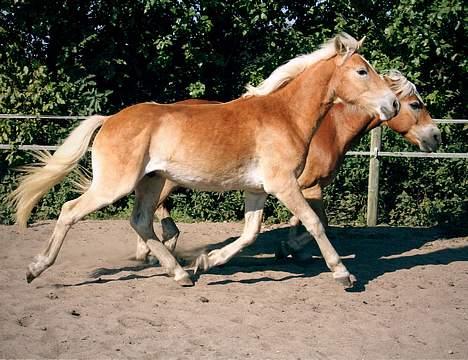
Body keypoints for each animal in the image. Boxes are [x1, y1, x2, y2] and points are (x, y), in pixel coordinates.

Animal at [11, 33, 398, 286]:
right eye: (362, 71)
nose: (392, 104)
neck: (284, 116)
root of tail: (109, 119)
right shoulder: (284, 184)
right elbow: (314, 223)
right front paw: (344, 274)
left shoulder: (258, 190)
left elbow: (250, 234)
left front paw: (205, 262)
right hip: (114, 185)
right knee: (70, 211)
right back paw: (35, 269)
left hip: (150, 182)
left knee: (141, 222)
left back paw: (181, 273)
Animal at [135, 69, 442, 264]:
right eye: (415, 104)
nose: (436, 136)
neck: (328, 129)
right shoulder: (310, 186)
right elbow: (320, 222)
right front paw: (291, 249)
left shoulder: (299, 187)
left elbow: (300, 220)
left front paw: (291, 250)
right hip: (167, 180)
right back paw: (151, 252)